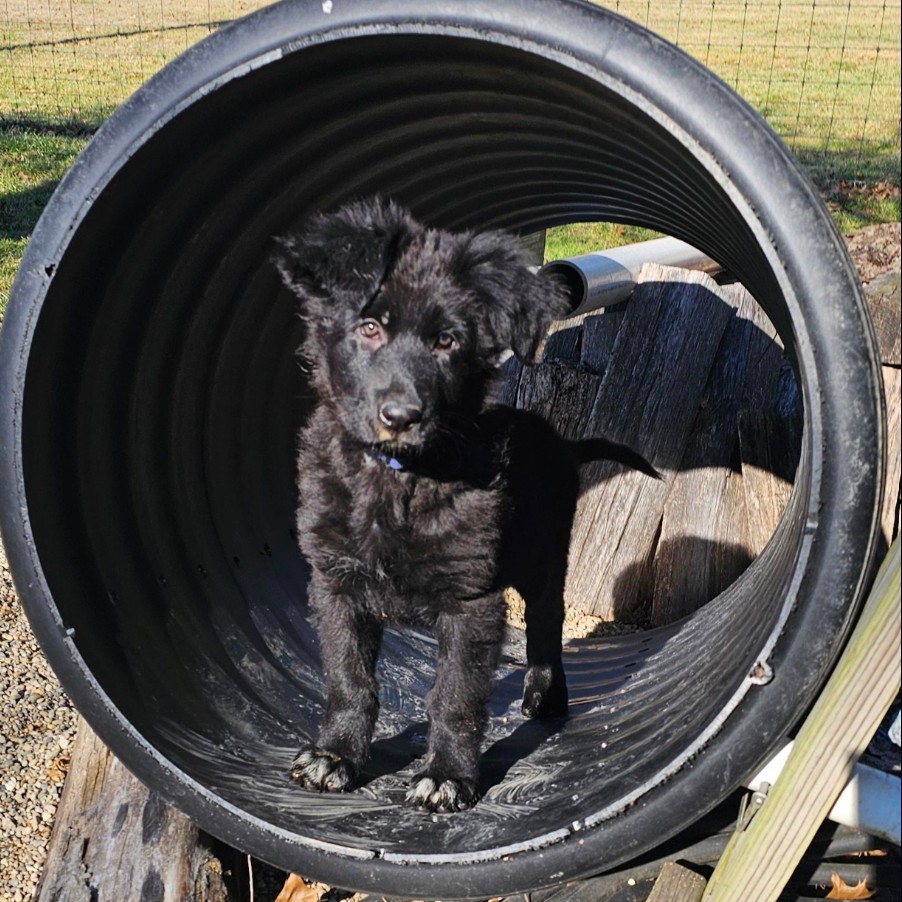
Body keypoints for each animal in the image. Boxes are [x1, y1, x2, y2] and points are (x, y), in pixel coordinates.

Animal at [275, 197, 655, 813]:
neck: (401, 479)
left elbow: (453, 695)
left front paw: (447, 774)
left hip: (544, 558)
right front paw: (336, 754)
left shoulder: (471, 603)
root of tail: (562, 443)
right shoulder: (336, 584)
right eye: (369, 328)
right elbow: (348, 679)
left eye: (447, 342)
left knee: (545, 625)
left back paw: (546, 694)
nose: (401, 416)